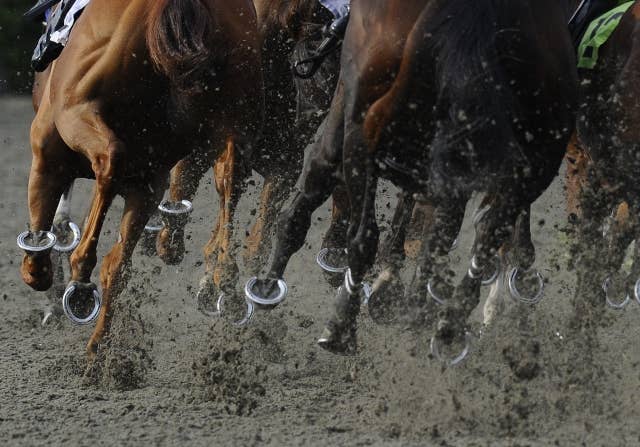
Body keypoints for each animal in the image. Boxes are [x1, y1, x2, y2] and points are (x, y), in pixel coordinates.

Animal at [17, 0, 263, 360]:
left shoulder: (48, 154)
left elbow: (39, 235)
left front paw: (41, 267)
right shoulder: (148, 179)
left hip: (80, 115)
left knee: (110, 160)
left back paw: (82, 275)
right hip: (226, 126)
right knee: (229, 176)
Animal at [245, 0, 579, 358]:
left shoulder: (347, 111)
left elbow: (316, 182)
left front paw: (267, 285)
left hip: (364, 126)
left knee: (364, 234)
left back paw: (341, 325)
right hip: (536, 157)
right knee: (479, 235)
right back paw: (446, 325)